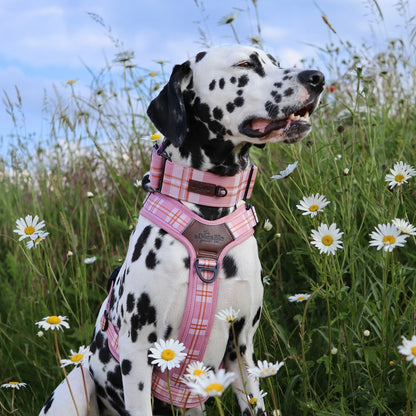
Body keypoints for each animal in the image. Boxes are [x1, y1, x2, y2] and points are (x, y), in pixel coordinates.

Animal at [39, 45, 324, 416]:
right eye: (246, 63)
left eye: (275, 62)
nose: (317, 77)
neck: (208, 212)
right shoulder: (137, 354)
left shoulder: (242, 348)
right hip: (75, 387)